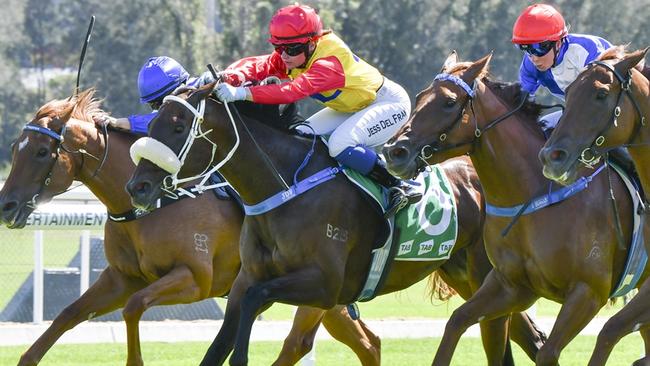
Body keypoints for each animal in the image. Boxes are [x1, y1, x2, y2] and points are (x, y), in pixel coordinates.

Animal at [0, 89, 388, 366]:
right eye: (16, 147)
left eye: (41, 152)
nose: (6, 205)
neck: (154, 206)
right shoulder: (121, 279)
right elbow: (68, 314)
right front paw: (28, 357)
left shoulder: (194, 279)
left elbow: (134, 307)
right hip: (332, 293)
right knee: (367, 343)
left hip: (316, 288)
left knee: (300, 343)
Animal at [124, 84, 544, 364]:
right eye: (154, 120)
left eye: (178, 126)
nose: (137, 187)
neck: (286, 187)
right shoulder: (245, 281)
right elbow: (220, 341)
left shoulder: (325, 285)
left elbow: (256, 304)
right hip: (473, 276)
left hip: (488, 273)